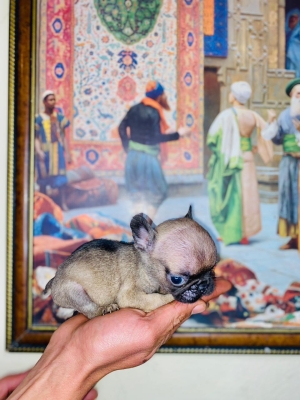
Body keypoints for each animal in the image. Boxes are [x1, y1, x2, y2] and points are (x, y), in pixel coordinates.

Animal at [43, 208, 217, 320]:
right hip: (73, 292)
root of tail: (55, 279)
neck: (144, 267)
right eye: (177, 279)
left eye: (213, 268)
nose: (203, 283)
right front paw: (167, 299)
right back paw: (105, 308)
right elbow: (154, 300)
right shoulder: (129, 294)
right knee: (90, 310)